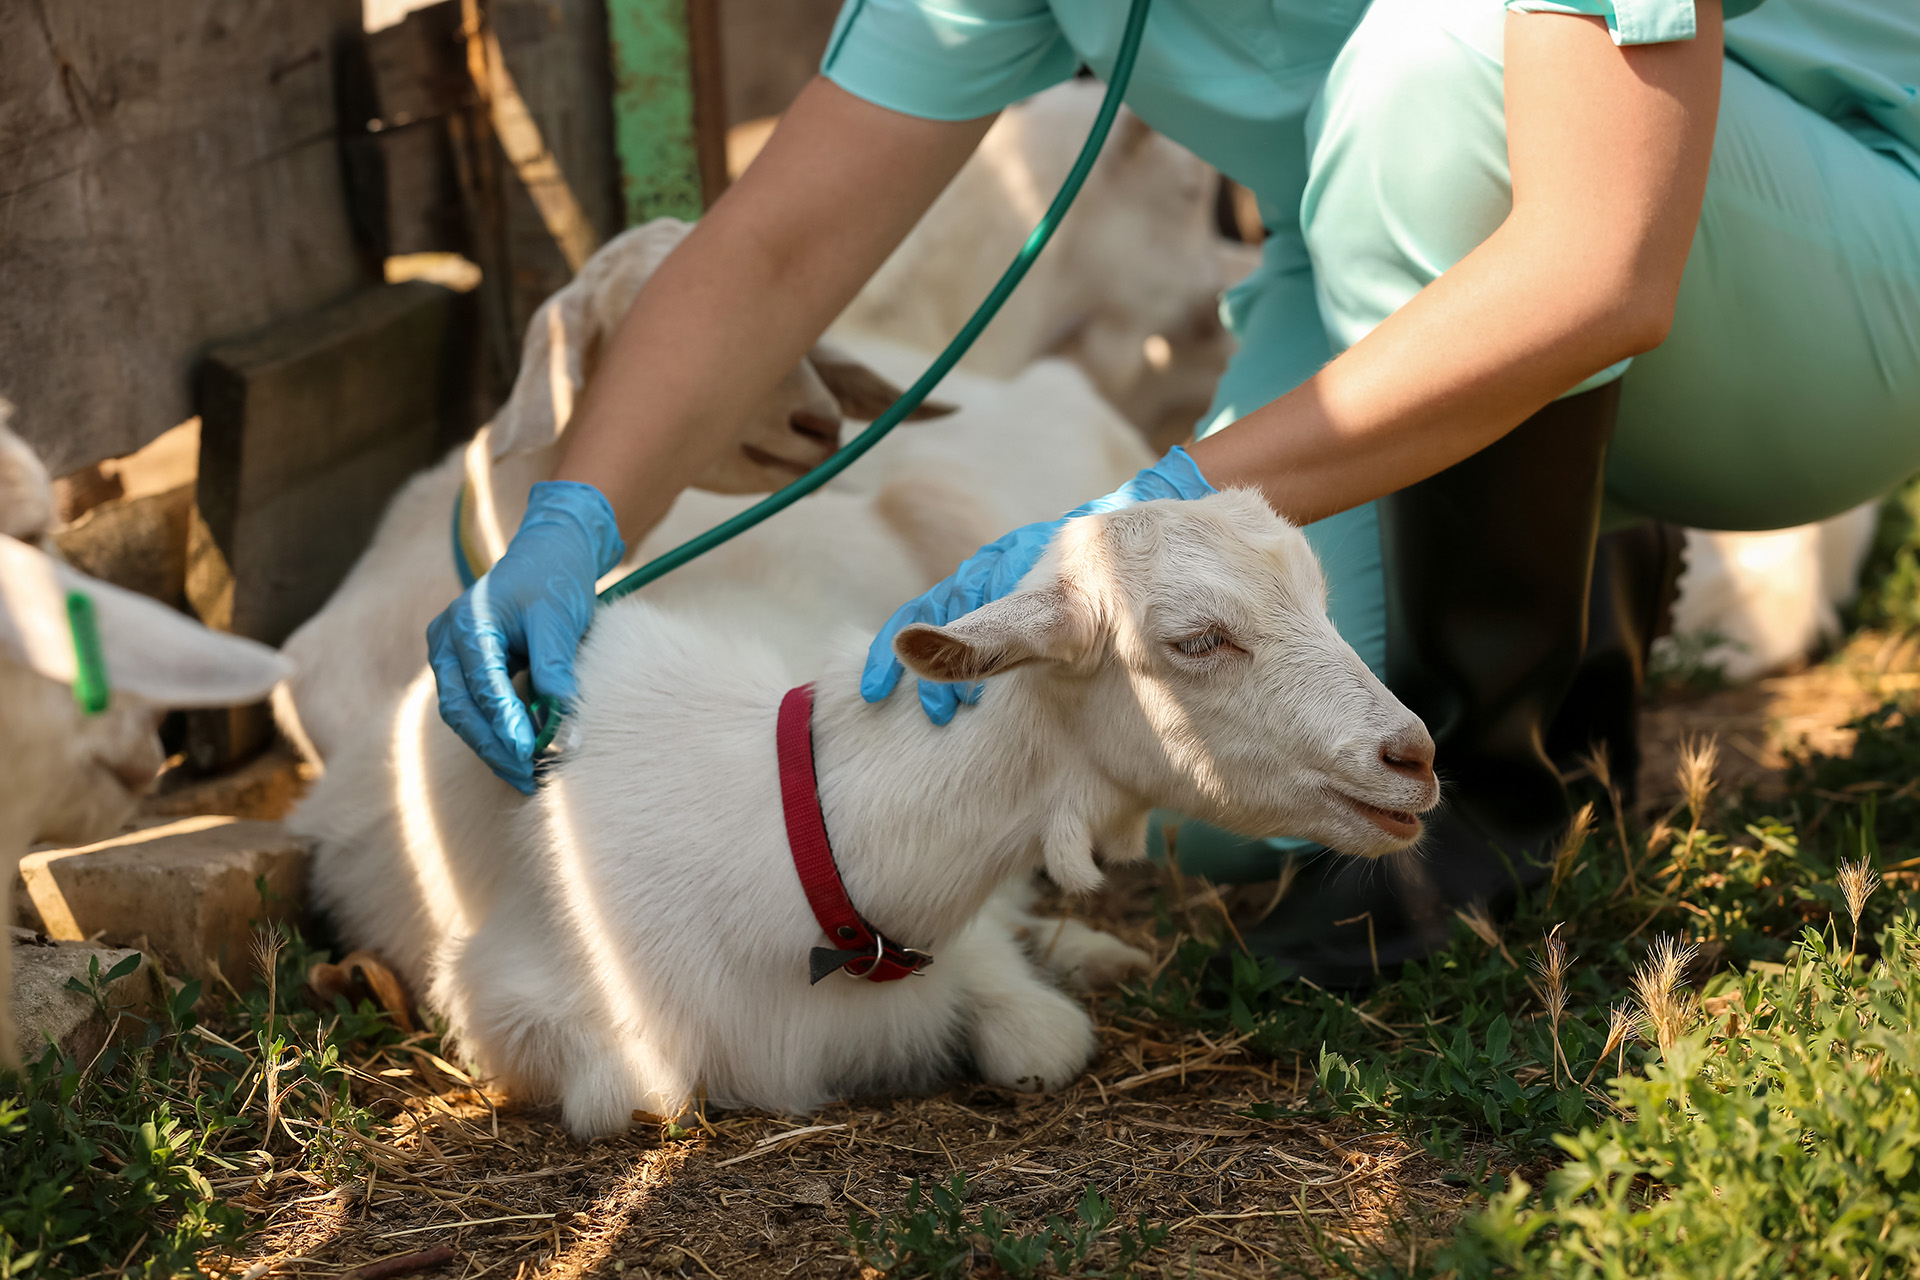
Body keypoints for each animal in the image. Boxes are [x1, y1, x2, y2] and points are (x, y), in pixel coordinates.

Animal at [303, 487, 1443, 1128]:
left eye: (1322, 600)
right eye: (1198, 640)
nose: (1416, 756)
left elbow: (1043, 1038)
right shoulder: (509, 994)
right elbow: (639, 1095)